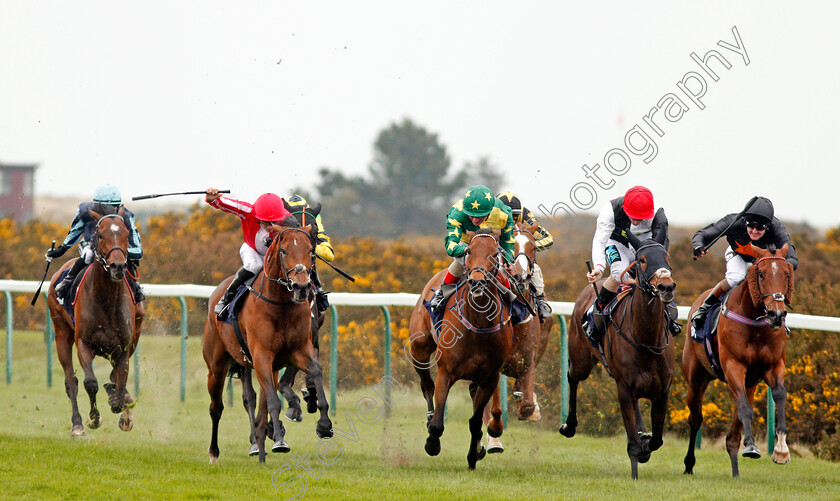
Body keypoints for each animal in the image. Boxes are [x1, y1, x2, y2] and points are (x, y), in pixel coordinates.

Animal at [48, 206, 144, 434]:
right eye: (100, 235)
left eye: (126, 234)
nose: (118, 266)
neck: (106, 302)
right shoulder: (84, 343)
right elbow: (90, 383)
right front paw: (94, 418)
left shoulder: (123, 348)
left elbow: (119, 383)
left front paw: (122, 408)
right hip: (61, 333)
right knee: (70, 381)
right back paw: (77, 424)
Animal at [204, 219, 334, 464]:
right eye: (284, 251)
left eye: (310, 252)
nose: (302, 287)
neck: (279, 304)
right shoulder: (261, 355)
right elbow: (272, 401)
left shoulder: (299, 350)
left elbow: (314, 371)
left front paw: (323, 424)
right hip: (217, 366)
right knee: (218, 407)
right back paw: (217, 452)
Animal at [406, 229, 516, 466]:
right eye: (468, 251)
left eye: (495, 254)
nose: (476, 282)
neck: (478, 326)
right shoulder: (446, 372)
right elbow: (438, 422)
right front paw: (432, 443)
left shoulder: (490, 378)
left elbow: (475, 421)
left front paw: (473, 456)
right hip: (419, 349)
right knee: (426, 386)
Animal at [556, 232, 676, 478]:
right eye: (642, 260)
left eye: (667, 257)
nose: (666, 287)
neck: (646, 340)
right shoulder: (624, 389)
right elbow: (633, 444)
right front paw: (637, 457)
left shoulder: (662, 390)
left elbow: (657, 440)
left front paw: (645, 442)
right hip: (582, 360)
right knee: (573, 377)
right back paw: (569, 425)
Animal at [684, 244, 796, 478]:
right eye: (761, 274)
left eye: (787, 274)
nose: (777, 314)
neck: (755, 323)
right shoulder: (733, 366)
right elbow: (745, 408)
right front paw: (753, 445)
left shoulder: (773, 366)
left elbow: (779, 395)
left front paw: (781, 450)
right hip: (696, 378)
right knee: (695, 418)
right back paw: (689, 463)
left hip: (750, 382)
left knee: (733, 433)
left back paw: (737, 467)